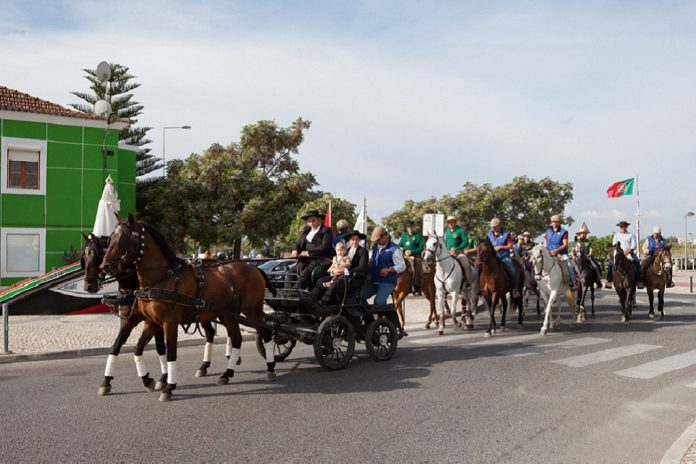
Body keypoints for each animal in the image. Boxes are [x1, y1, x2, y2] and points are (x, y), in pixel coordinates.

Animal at [80, 232, 169, 396]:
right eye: (83, 257)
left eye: (96, 256)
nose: (87, 286)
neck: (133, 285)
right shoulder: (128, 321)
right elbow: (115, 346)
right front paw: (106, 382)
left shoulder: (156, 321)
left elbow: (160, 347)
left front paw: (160, 379)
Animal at [100, 216, 274, 400]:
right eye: (110, 238)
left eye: (123, 239)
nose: (104, 266)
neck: (162, 278)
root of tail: (254, 267)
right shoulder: (151, 322)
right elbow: (137, 348)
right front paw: (147, 380)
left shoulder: (169, 323)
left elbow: (170, 352)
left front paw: (168, 387)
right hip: (228, 314)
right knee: (236, 339)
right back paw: (227, 373)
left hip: (251, 311)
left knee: (265, 331)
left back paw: (270, 367)